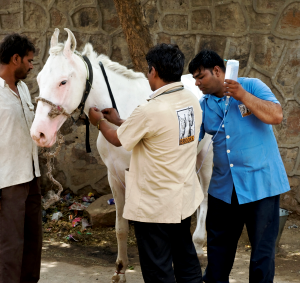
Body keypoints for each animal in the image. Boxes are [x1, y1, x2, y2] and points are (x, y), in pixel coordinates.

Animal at [31, 27, 213, 282]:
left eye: (63, 81)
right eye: (39, 79)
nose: (39, 134)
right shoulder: (114, 176)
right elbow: (121, 227)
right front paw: (120, 269)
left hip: (206, 157)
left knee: (204, 198)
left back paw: (197, 243)